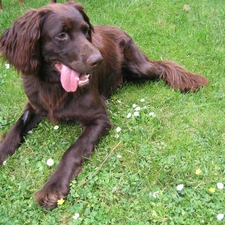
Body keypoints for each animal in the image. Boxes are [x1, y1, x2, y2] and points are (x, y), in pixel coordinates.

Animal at [0, 1, 207, 209]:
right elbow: (15, 130)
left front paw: (53, 187)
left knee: (162, 67)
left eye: (85, 31)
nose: (97, 60)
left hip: (138, 67)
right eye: (61, 35)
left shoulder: (99, 120)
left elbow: (72, 150)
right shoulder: (35, 105)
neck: (53, 85)